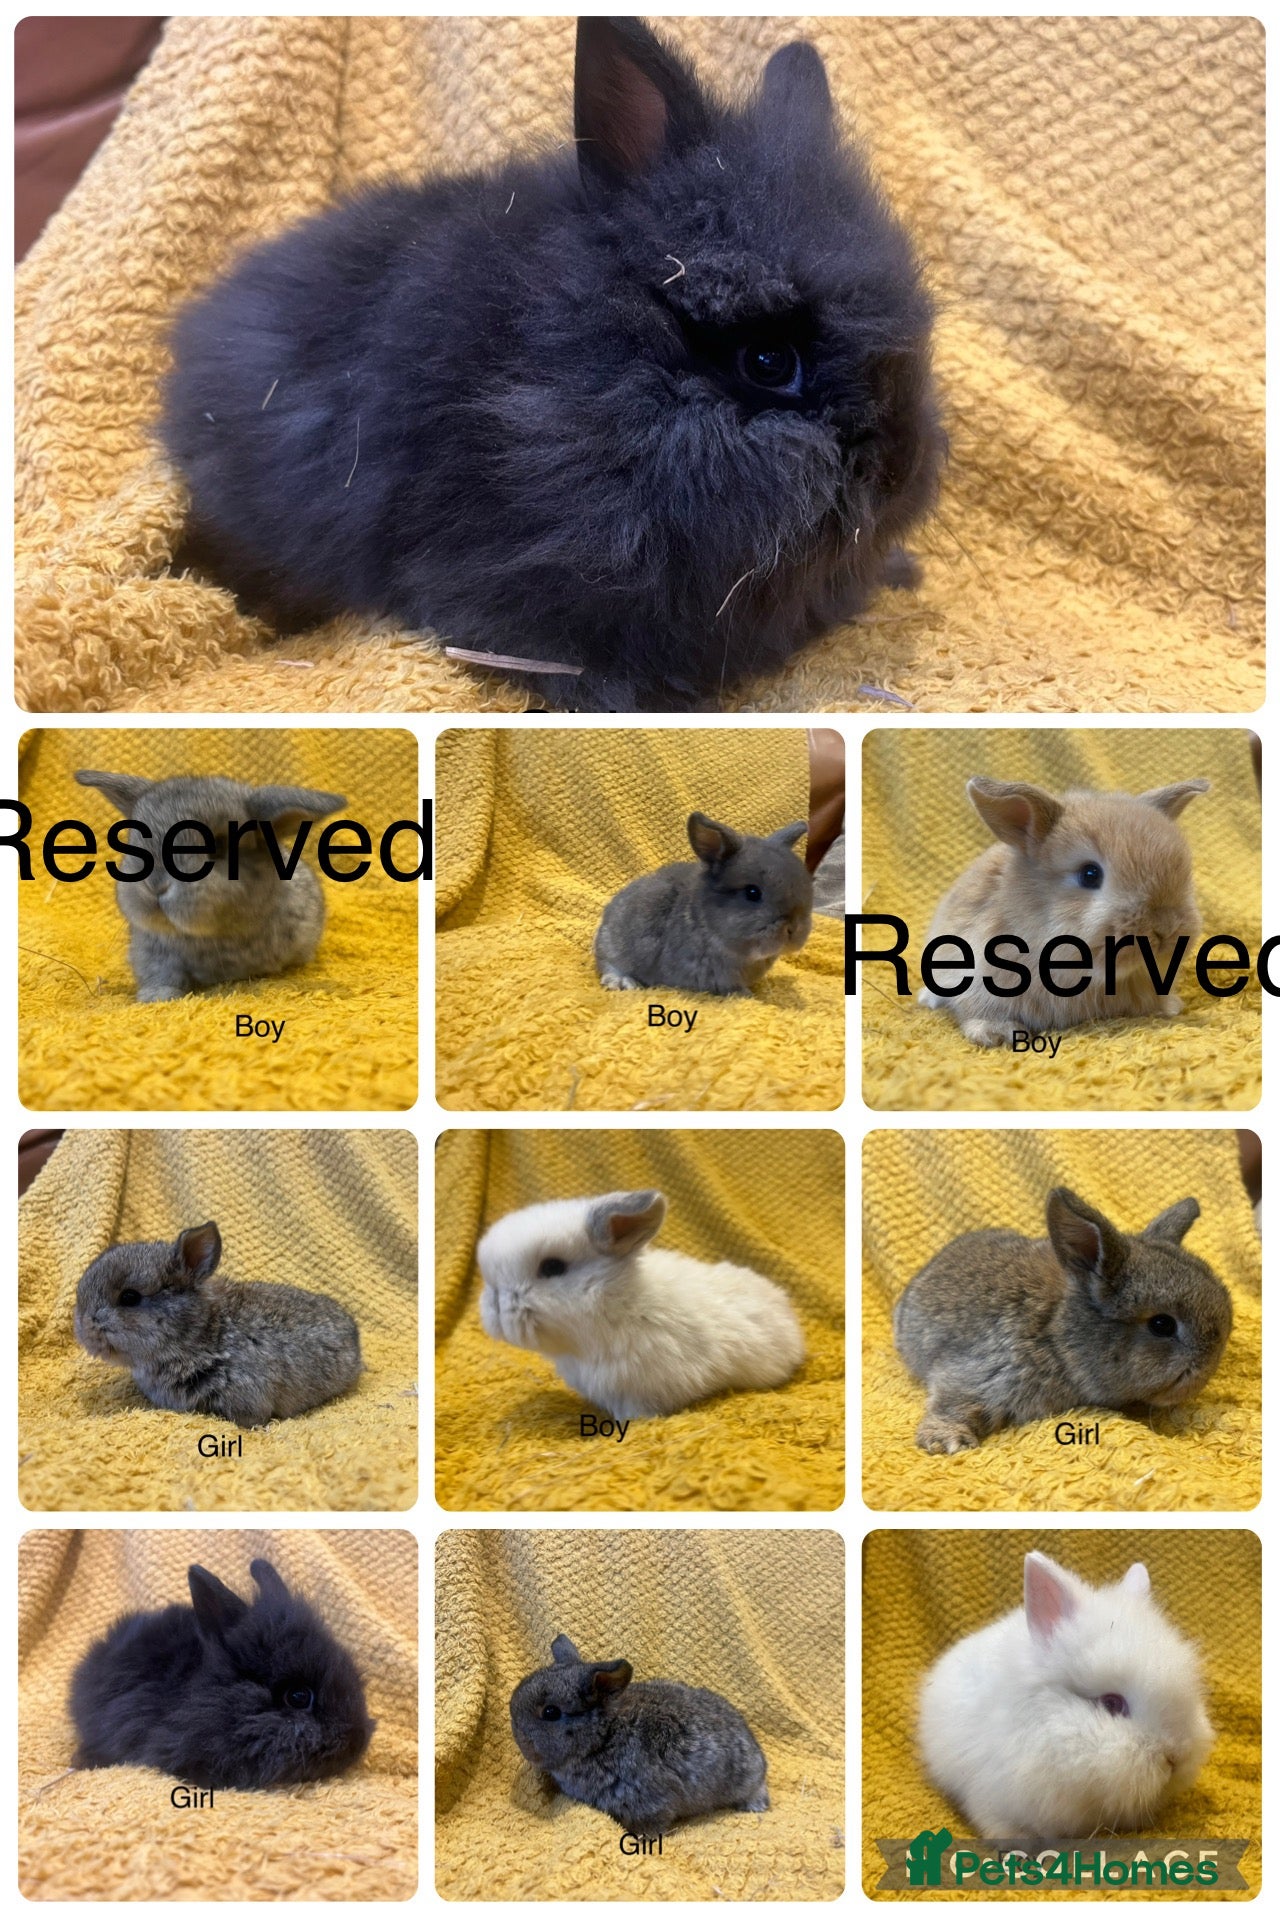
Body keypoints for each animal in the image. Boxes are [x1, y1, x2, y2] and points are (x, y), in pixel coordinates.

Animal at [74, 769, 346, 1002]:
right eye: (134, 841)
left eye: (219, 845)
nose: (155, 886)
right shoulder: (152, 952)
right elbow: (161, 975)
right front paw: (156, 997)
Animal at [893, 1188, 1232, 1454]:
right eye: (1162, 1325)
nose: (1208, 1367)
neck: (1056, 1334)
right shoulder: (980, 1374)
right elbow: (955, 1402)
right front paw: (947, 1442)